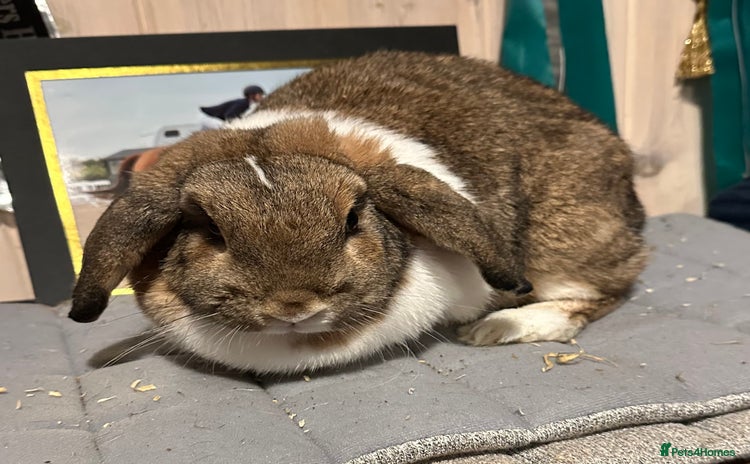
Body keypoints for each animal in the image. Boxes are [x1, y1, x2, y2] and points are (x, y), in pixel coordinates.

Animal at [68, 51, 648, 374]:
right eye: (210, 230)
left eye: (352, 220)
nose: (294, 307)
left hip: (563, 242)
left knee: (603, 294)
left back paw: (501, 328)